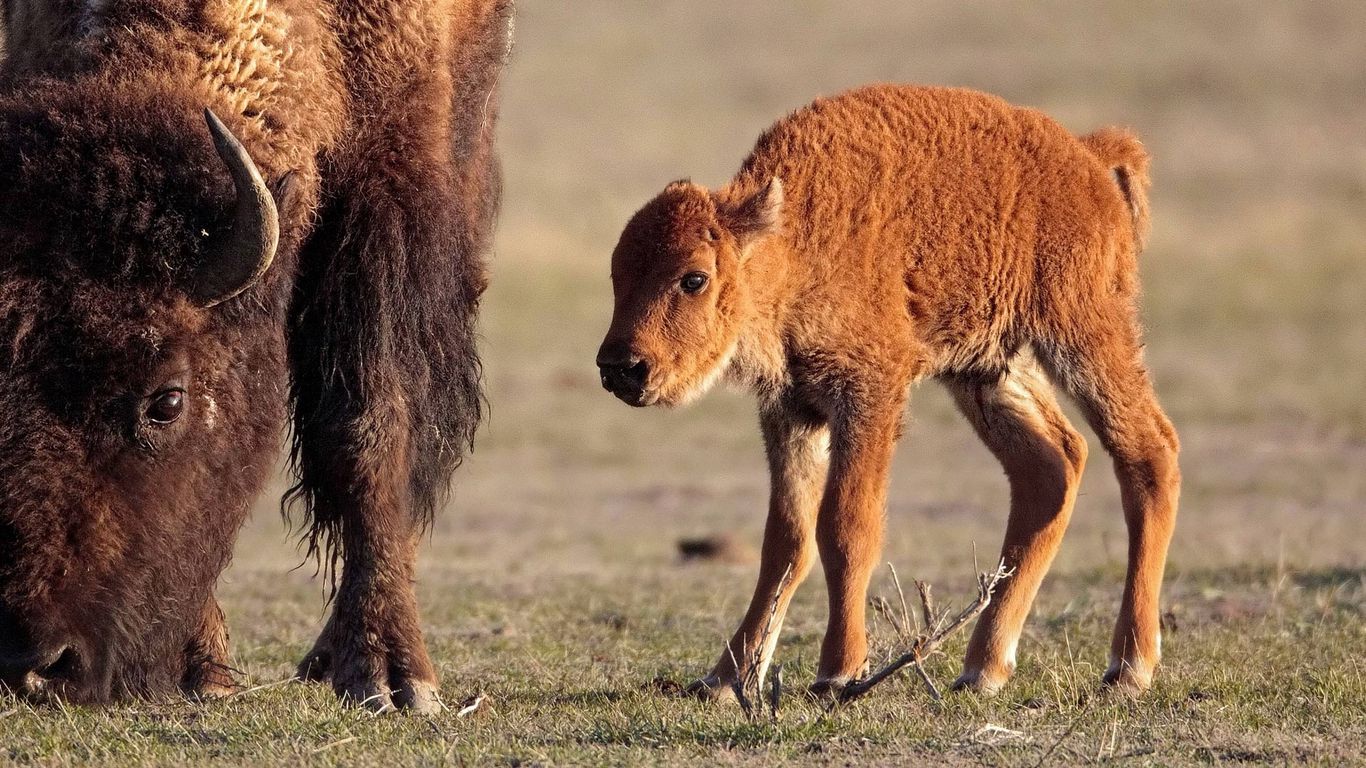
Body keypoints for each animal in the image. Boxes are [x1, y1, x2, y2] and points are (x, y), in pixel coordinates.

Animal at [0, 0, 513, 710]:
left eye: (167, 400)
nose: (31, 666)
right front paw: (205, 671)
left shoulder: (390, 182)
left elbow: (369, 427)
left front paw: (394, 676)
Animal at [603, 83, 1180, 694]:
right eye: (617, 275)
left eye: (693, 278)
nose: (621, 368)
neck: (793, 244)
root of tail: (1088, 156)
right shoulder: (792, 409)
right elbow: (786, 541)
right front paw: (726, 680)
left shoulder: (867, 395)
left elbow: (846, 527)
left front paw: (837, 672)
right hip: (988, 370)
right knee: (1051, 467)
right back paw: (982, 670)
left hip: (1084, 336)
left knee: (1148, 454)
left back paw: (1129, 666)